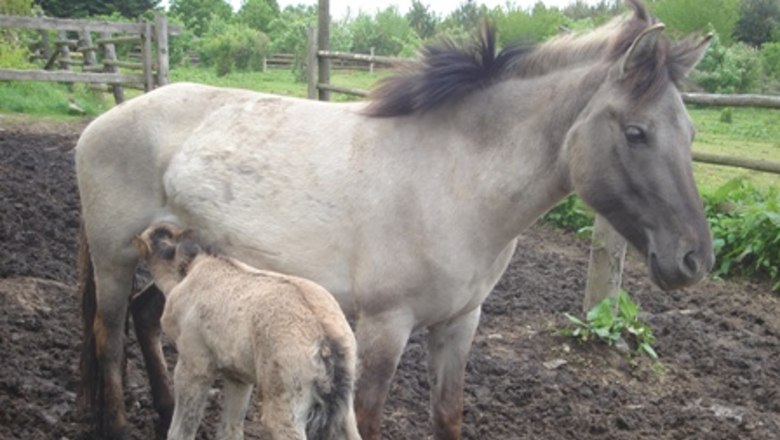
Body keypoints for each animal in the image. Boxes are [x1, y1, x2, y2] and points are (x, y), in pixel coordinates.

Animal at [134, 223, 362, 440]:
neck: (187, 271)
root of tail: (326, 341)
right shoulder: (238, 375)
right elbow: (231, 429)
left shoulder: (194, 363)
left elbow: (182, 429)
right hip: (344, 409)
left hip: (284, 404)